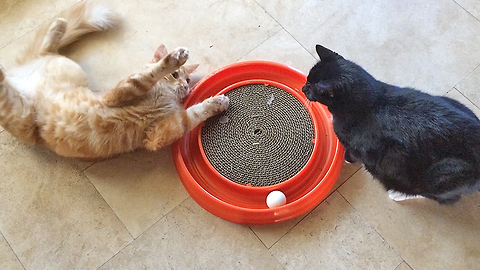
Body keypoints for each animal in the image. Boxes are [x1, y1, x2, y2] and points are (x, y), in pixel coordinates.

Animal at [0, 1, 229, 158]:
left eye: (188, 80)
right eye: (175, 76)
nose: (184, 86)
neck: (164, 97)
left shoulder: (161, 133)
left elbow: (195, 113)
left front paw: (217, 103)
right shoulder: (116, 94)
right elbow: (146, 77)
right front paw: (173, 58)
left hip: (62, 69)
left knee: (45, 49)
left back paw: (59, 25)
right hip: (22, 113)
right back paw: (57, 26)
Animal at [304, 44, 480, 205]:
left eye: (312, 88)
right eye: (307, 80)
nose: (304, 88)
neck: (372, 101)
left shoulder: (361, 147)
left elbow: (354, 153)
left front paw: (347, 158)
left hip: (440, 174)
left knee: (443, 197)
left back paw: (398, 193)